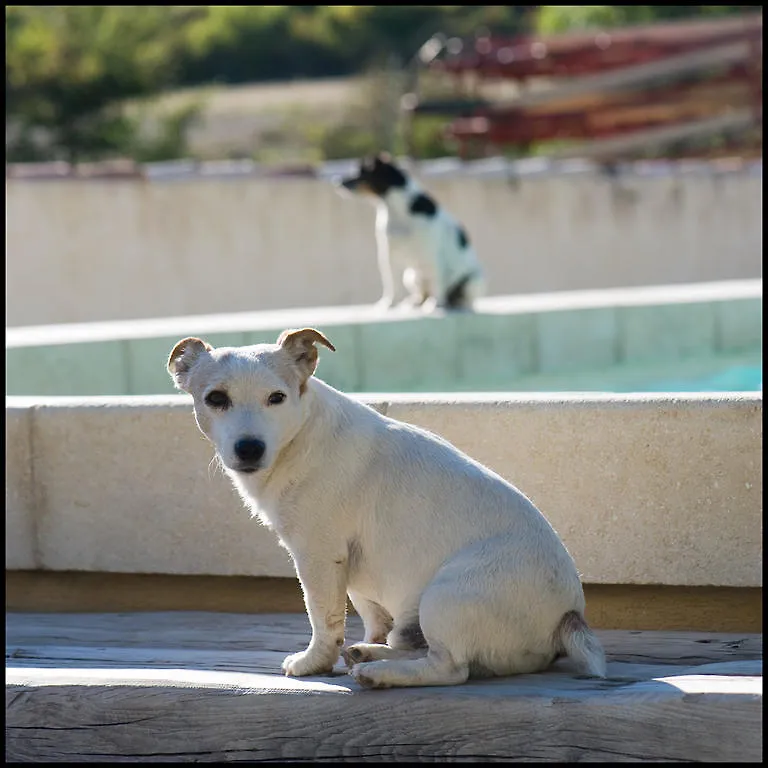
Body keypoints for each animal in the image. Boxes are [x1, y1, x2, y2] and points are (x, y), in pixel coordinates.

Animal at [168, 328, 608, 688]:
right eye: (216, 399)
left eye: (277, 398)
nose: (249, 447)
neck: (301, 436)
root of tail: (569, 617)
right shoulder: (355, 572)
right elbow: (372, 618)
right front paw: (365, 643)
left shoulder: (318, 557)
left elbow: (324, 620)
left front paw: (314, 663)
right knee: (418, 645)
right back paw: (371, 655)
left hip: (446, 596)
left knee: (450, 668)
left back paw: (380, 673)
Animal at [336, 153, 486, 312]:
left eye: (361, 172)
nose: (337, 181)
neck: (397, 211)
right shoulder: (388, 256)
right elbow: (391, 284)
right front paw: (389, 303)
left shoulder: (432, 256)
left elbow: (436, 284)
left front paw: (435, 305)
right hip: (411, 276)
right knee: (422, 293)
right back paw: (415, 302)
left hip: (472, 282)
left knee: (460, 298)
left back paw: (453, 304)